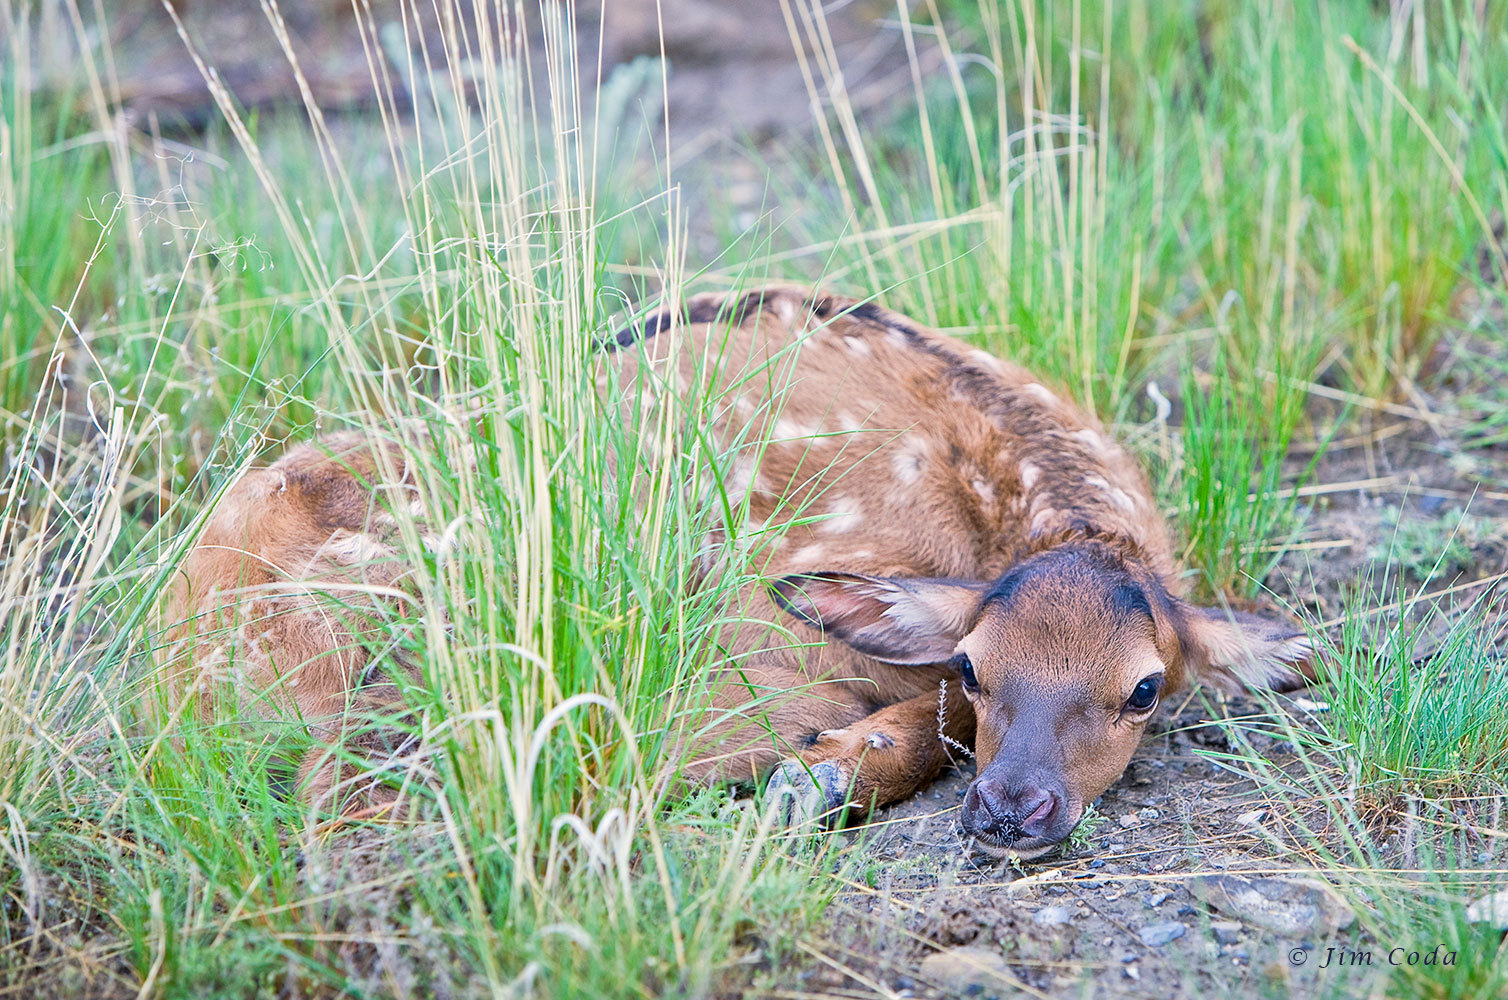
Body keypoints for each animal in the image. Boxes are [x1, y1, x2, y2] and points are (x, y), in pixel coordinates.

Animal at [159, 288, 1302, 862]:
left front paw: (822, 777)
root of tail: (163, 674)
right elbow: (903, 710)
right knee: (347, 794)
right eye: (981, 665)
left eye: (1144, 688)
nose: (1011, 810)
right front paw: (816, 777)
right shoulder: (771, 634)